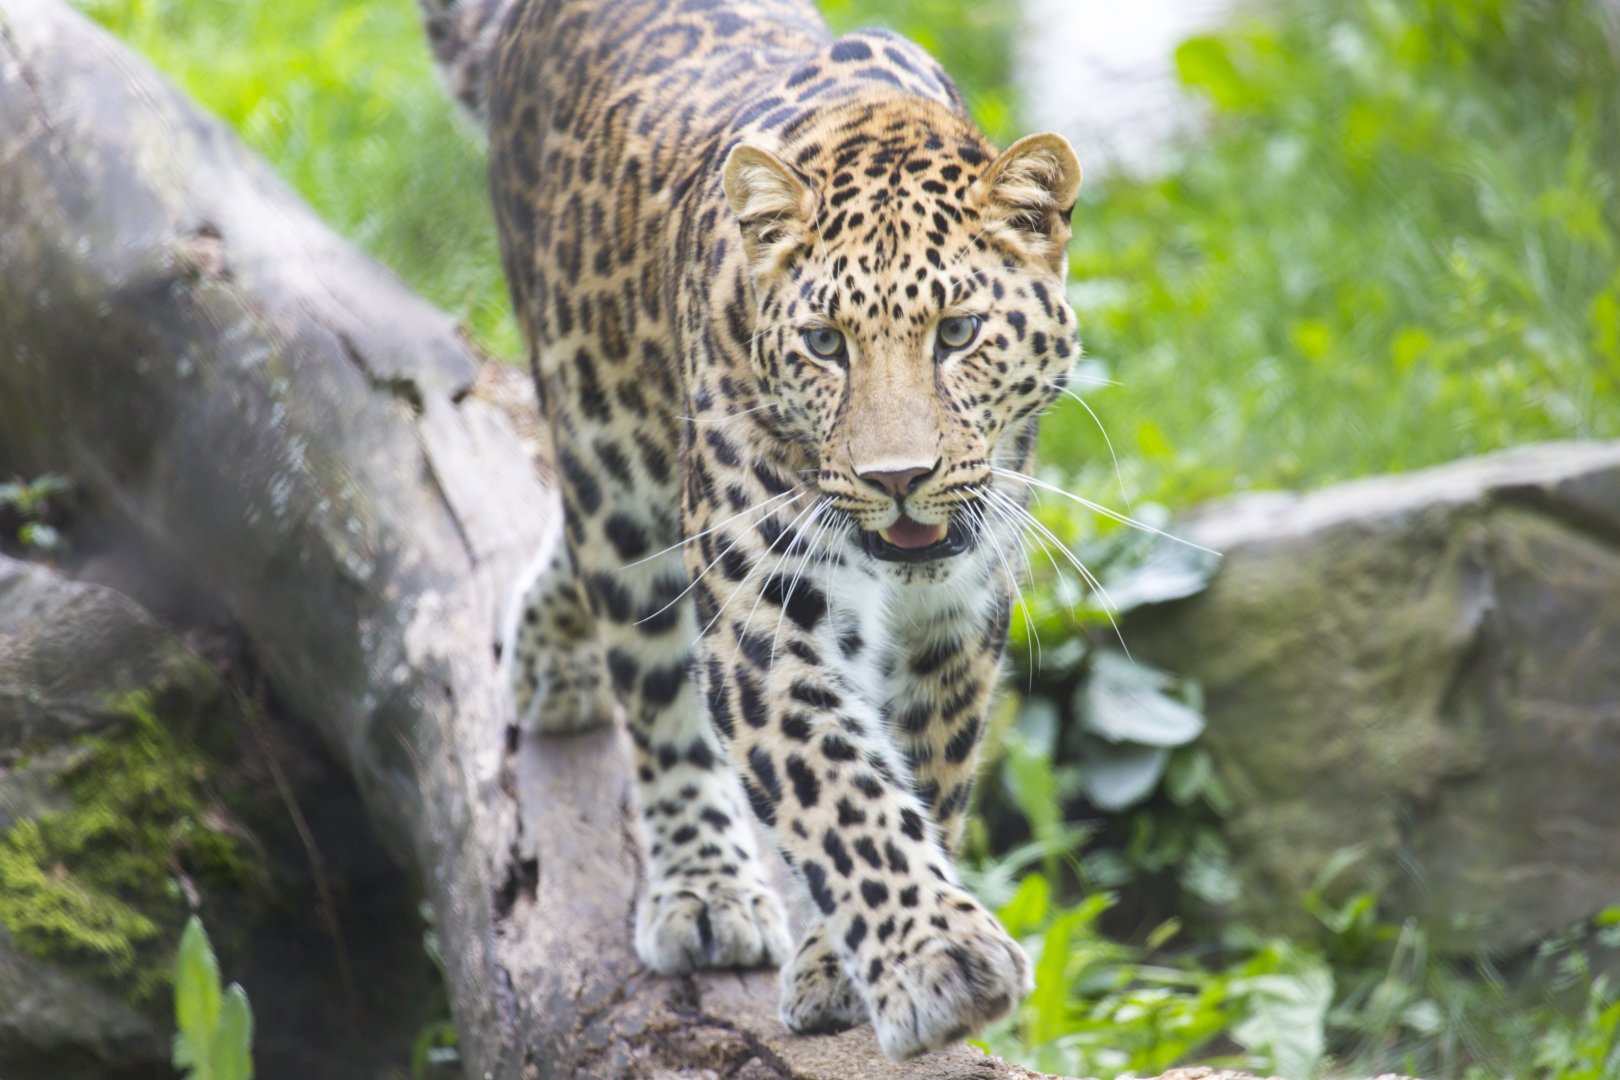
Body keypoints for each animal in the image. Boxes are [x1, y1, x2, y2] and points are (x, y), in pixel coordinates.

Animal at [420, 0, 1083, 1060]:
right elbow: (837, 786)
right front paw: (938, 964)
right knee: (648, 665)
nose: (898, 480)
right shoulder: (763, 612)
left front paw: (843, 964)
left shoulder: (958, 615)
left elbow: (921, 776)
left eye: (957, 334)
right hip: (602, 437)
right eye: (824, 344)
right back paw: (702, 887)